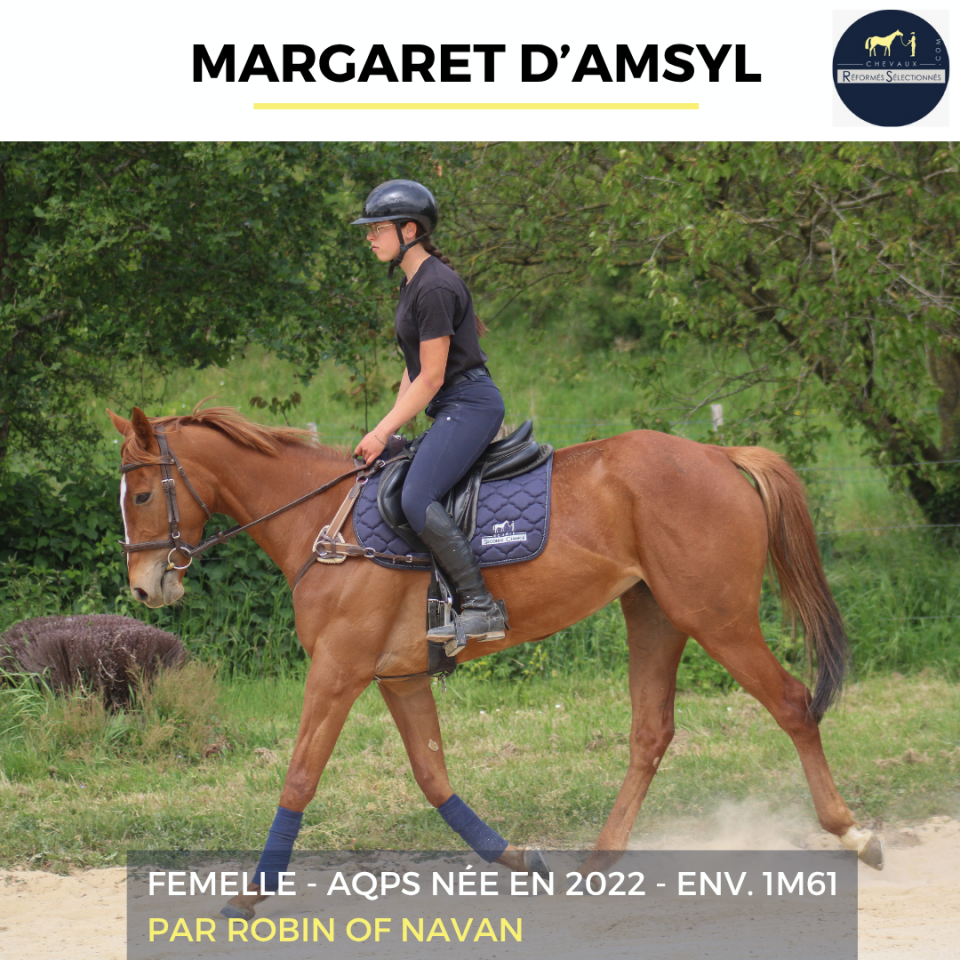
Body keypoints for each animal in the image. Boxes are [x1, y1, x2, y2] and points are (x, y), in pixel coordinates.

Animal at [109, 404, 883, 917]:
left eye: (143, 493)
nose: (146, 588)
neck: (324, 524)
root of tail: (718, 455)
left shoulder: (338, 671)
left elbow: (300, 776)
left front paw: (249, 895)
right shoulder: (399, 676)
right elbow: (432, 777)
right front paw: (515, 857)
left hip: (715, 617)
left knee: (790, 704)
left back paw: (852, 831)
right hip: (655, 616)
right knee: (650, 732)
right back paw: (599, 862)